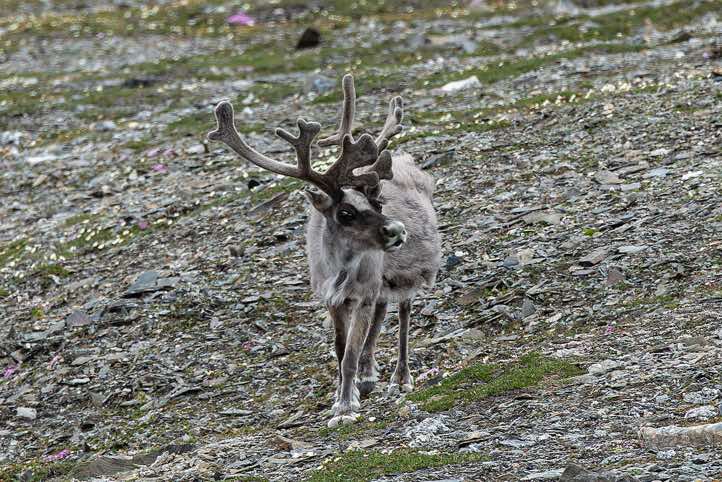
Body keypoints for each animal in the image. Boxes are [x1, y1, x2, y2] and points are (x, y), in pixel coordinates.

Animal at [208, 74, 441, 427]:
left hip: (407, 276)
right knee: (382, 312)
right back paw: (369, 375)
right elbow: (342, 348)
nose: (398, 230)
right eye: (345, 212)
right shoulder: (332, 298)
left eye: (377, 203)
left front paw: (345, 407)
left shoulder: (363, 293)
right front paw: (349, 391)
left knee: (402, 313)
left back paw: (400, 378)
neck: (339, 268)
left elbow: (350, 354)